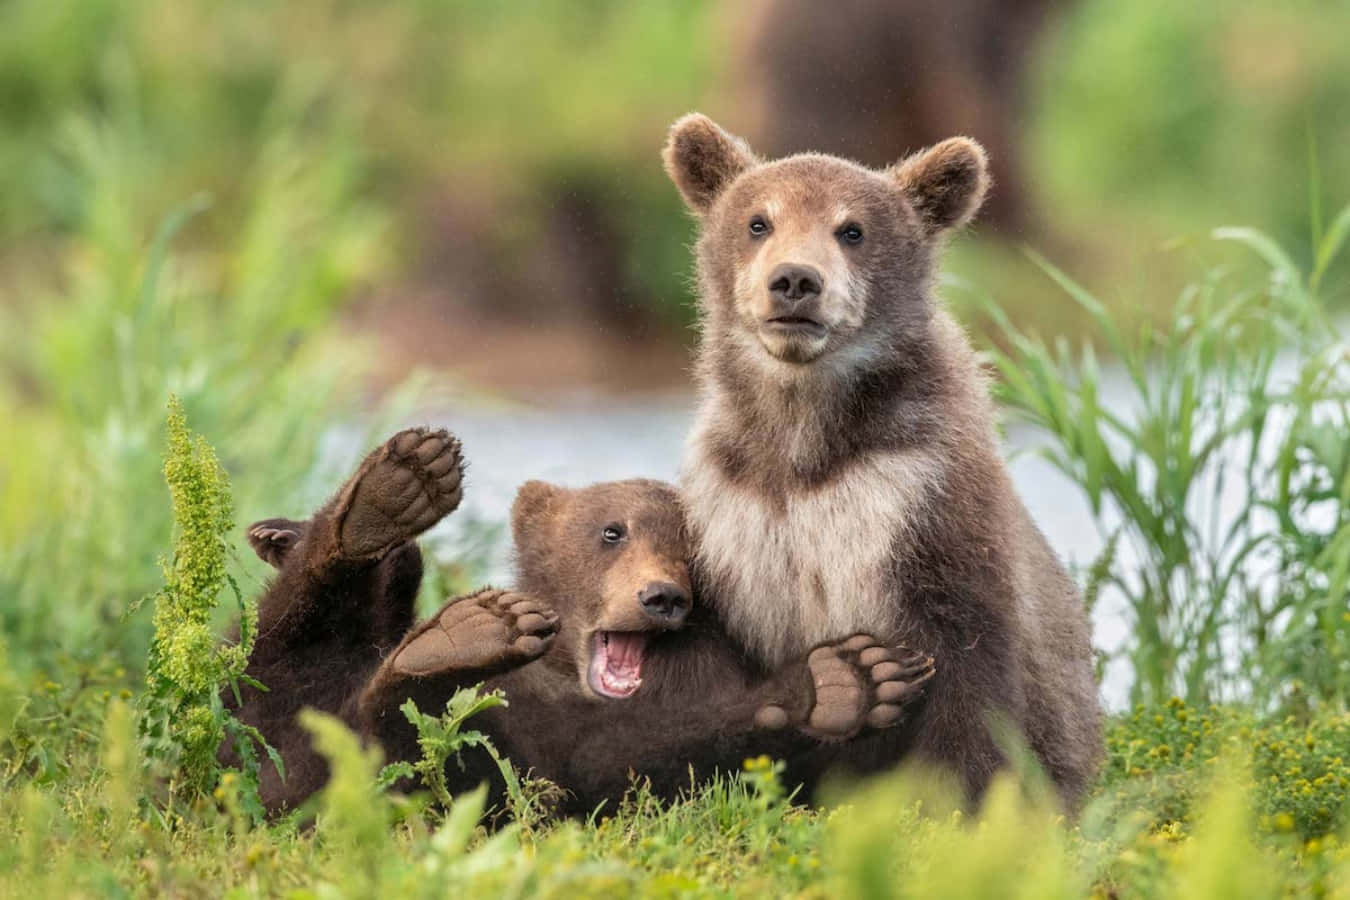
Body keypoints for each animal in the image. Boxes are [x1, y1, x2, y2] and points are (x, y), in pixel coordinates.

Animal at [230, 428, 935, 816]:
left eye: (693, 552)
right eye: (611, 530)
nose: (661, 597)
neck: (569, 673)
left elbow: (622, 761)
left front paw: (845, 681)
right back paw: (386, 500)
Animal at [661, 113, 1103, 807]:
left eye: (852, 230)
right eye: (759, 221)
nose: (795, 281)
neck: (806, 438)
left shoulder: (920, 494)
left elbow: (972, 664)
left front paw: (955, 796)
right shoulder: (735, 510)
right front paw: (832, 691)